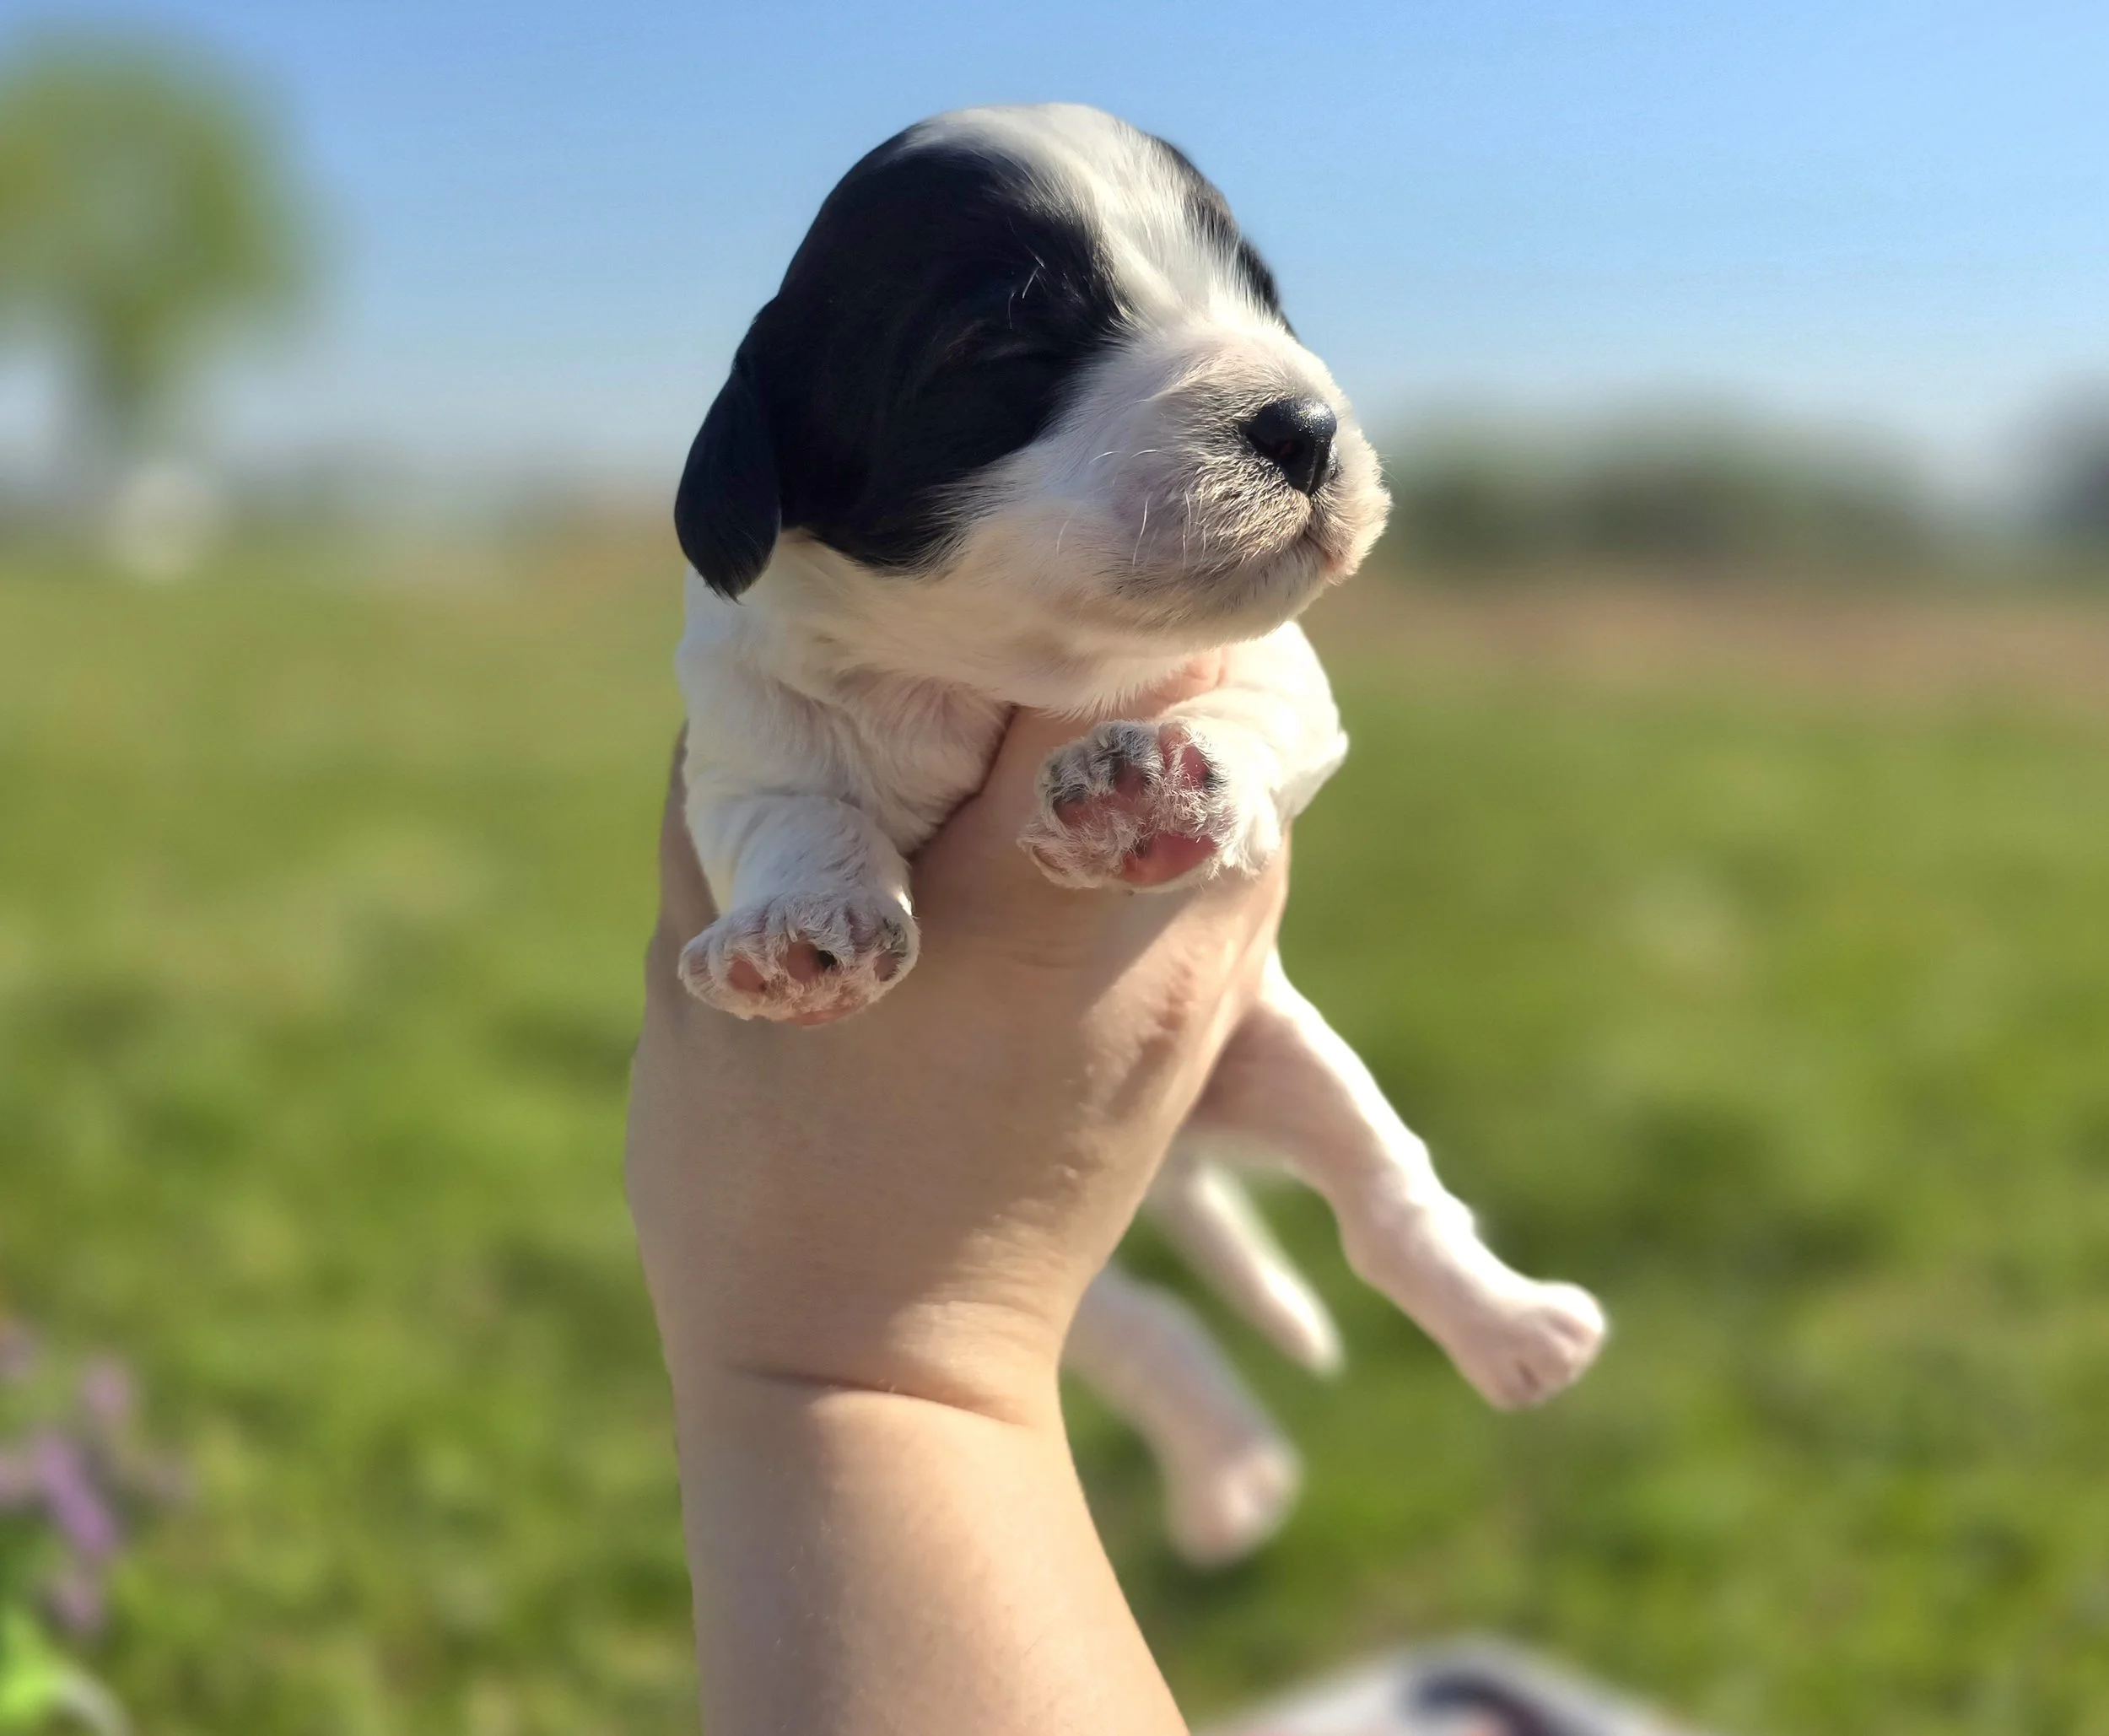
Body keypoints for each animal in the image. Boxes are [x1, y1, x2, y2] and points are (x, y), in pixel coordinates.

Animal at [671, 103, 1605, 1564]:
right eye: (1006, 340)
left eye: (1258, 296)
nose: (1307, 425)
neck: (1005, 667)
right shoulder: (743, 719)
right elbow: (792, 808)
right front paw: (792, 932)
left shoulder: (1285, 674)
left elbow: (1239, 706)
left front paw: (1156, 783)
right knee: (1140, 1323)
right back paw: (1227, 1479)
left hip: (1287, 1056)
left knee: (1392, 1195)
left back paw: (1515, 1330)